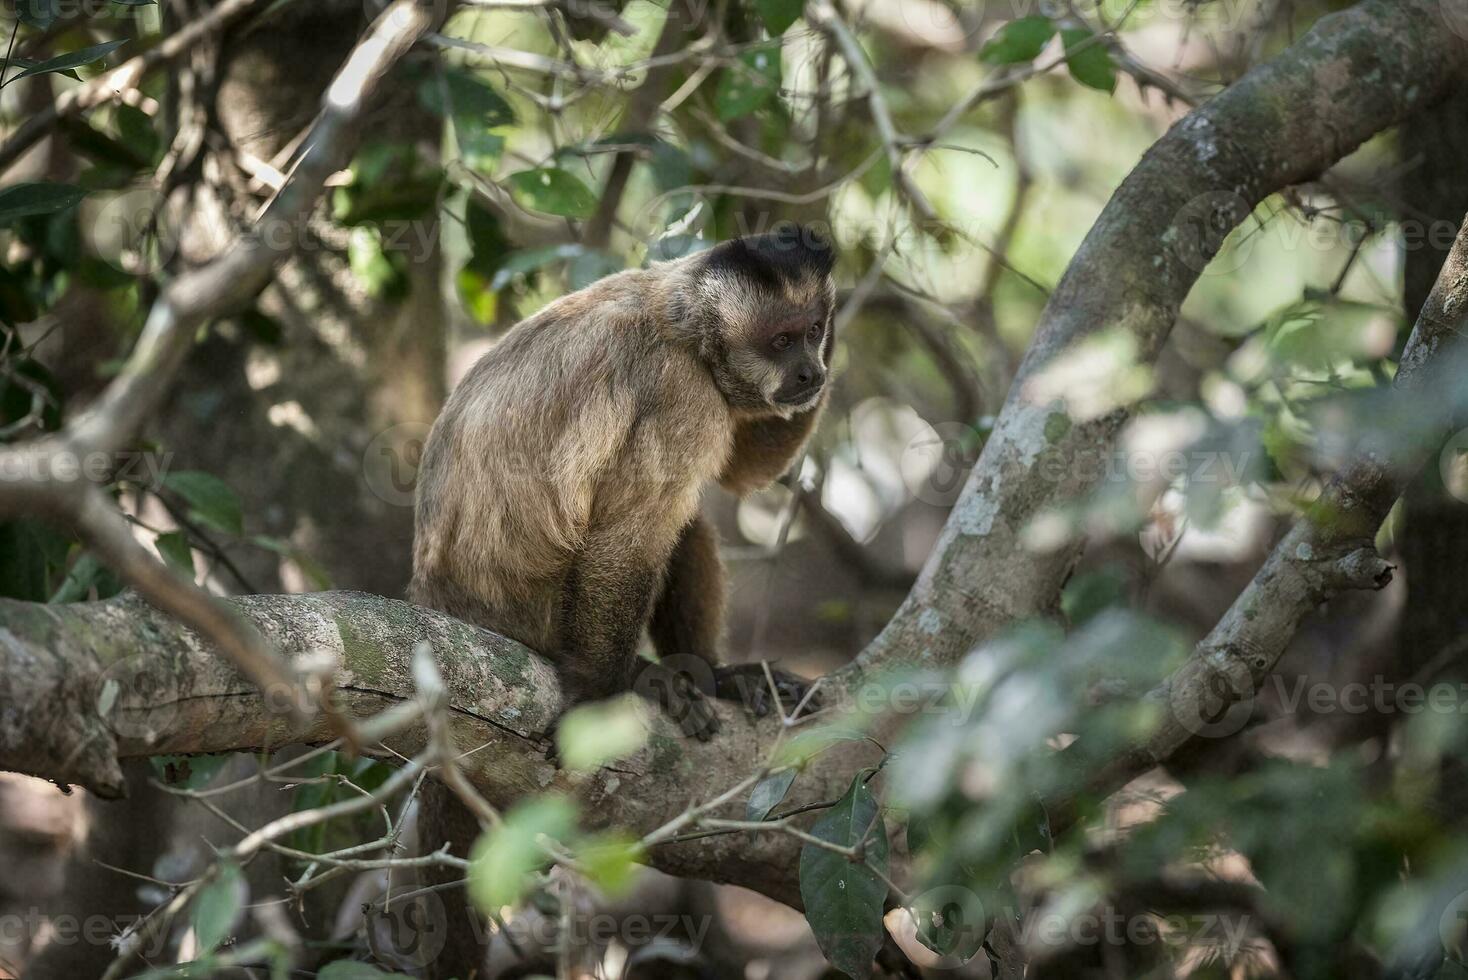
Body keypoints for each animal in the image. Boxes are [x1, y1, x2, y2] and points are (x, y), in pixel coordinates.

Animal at [411, 224, 839, 979]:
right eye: (781, 339)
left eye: (813, 330)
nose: (810, 372)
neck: (685, 327)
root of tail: (438, 601)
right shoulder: (678, 393)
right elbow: (626, 533)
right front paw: (595, 692)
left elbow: (742, 472)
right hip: (531, 617)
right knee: (663, 514)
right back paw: (642, 677)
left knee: (687, 519)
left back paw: (715, 674)